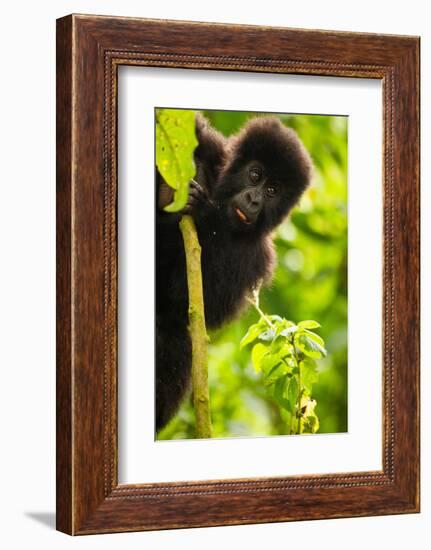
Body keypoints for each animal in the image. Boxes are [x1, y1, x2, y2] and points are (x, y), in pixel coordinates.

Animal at [157, 114, 312, 434]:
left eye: (272, 190)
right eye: (255, 175)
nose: (253, 200)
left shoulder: (257, 257)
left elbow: (191, 302)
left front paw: (205, 212)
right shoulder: (214, 150)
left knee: (174, 334)